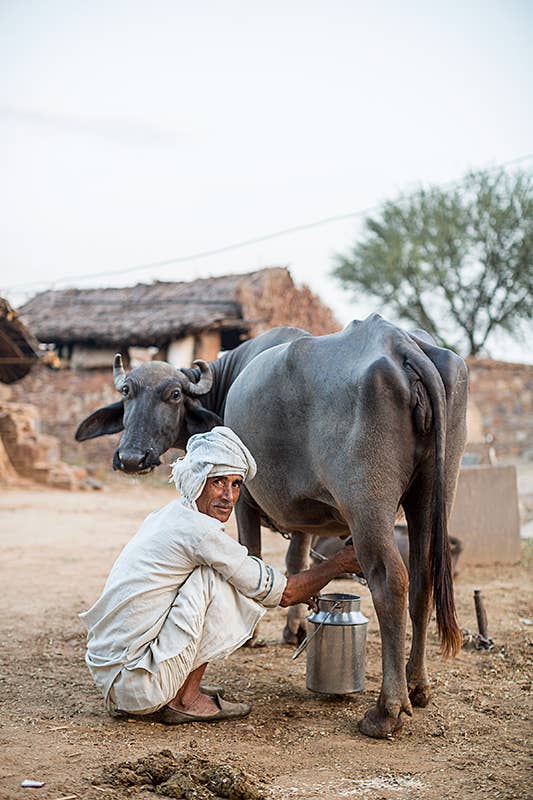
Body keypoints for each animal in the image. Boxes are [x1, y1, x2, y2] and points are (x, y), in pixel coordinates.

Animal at [75, 316, 466, 740]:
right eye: (126, 392)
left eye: (174, 394)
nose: (131, 457)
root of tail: (399, 342)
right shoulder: (306, 516)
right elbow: (297, 563)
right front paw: (294, 630)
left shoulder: (245, 500)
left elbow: (256, 555)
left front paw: (253, 636)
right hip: (433, 494)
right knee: (424, 580)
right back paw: (417, 685)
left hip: (368, 505)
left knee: (391, 581)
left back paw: (386, 710)